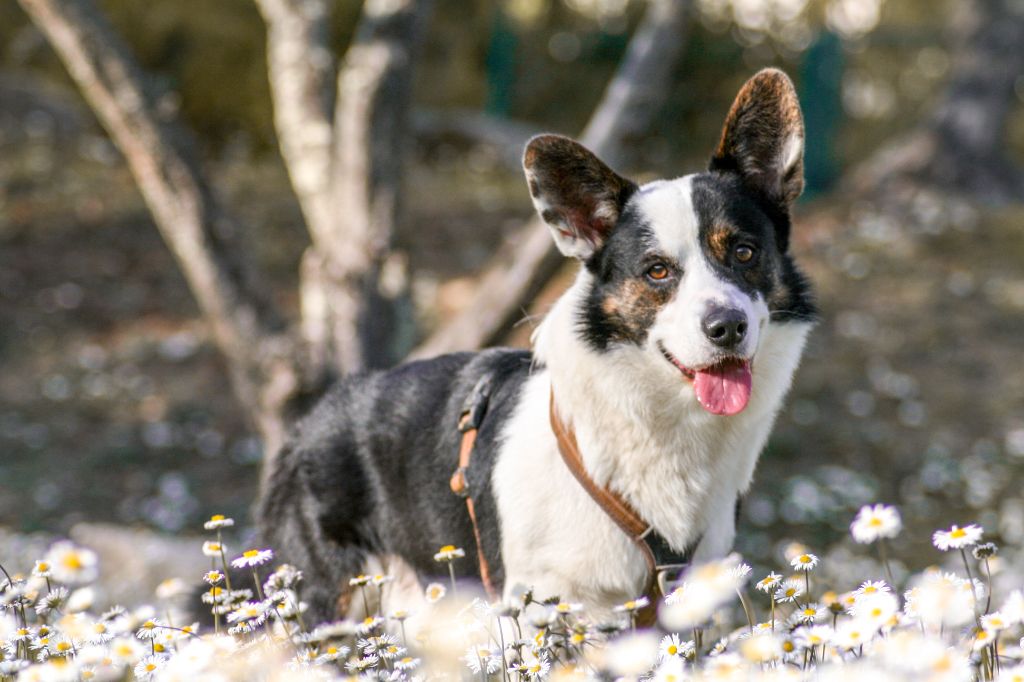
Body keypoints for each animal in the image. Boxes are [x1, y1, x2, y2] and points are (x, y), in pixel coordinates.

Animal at [262, 70, 815, 622]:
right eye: (657, 271)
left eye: (744, 252)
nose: (728, 327)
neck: (657, 422)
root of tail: (310, 420)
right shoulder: (543, 601)